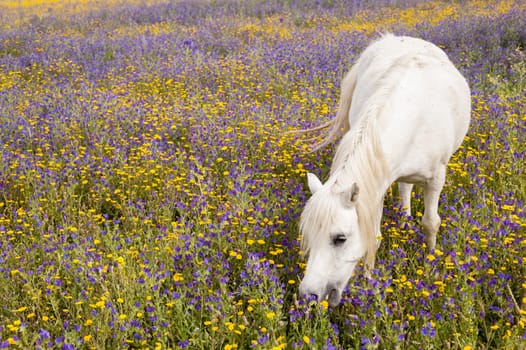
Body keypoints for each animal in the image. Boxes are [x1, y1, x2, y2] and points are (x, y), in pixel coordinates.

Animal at [300, 33, 472, 306]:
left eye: (340, 239)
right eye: (307, 234)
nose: (309, 296)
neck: (416, 112)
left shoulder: (436, 179)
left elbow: (431, 223)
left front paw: (431, 267)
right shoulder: (375, 186)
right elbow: (374, 235)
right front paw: (369, 284)